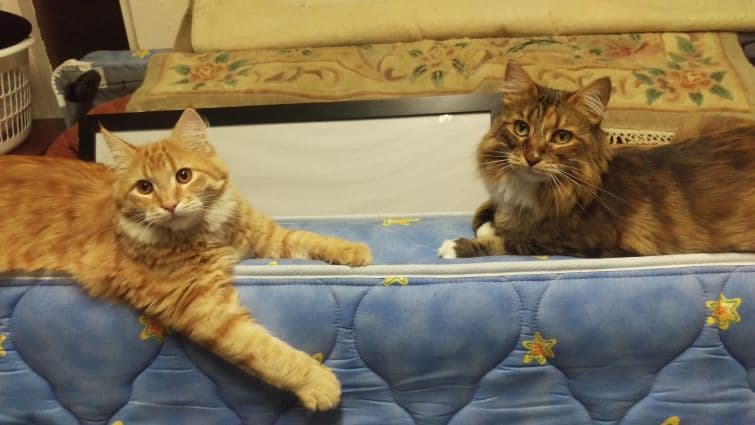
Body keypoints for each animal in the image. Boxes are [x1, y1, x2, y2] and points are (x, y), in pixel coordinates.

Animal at [0, 109, 370, 410]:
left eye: (183, 175)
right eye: (145, 187)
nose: (169, 205)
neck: (207, 230)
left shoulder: (264, 236)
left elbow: (306, 237)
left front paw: (352, 250)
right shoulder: (205, 309)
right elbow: (266, 351)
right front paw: (317, 382)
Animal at [438, 60, 755, 258]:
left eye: (561, 137)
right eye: (521, 129)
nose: (531, 157)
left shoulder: (583, 242)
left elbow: (514, 240)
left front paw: (458, 246)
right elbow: (485, 213)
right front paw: (490, 221)